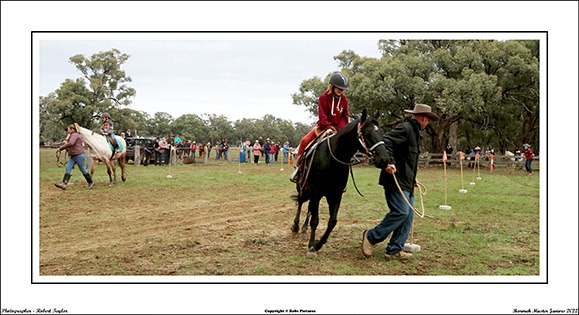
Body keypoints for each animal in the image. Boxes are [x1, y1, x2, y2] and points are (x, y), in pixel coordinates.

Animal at [294, 110, 390, 258]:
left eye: (381, 132)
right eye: (367, 133)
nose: (384, 159)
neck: (332, 158)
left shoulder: (336, 194)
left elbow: (332, 222)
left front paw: (319, 244)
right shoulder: (316, 192)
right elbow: (315, 220)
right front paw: (311, 247)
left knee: (309, 207)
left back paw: (304, 229)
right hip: (303, 187)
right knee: (300, 202)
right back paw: (296, 226)